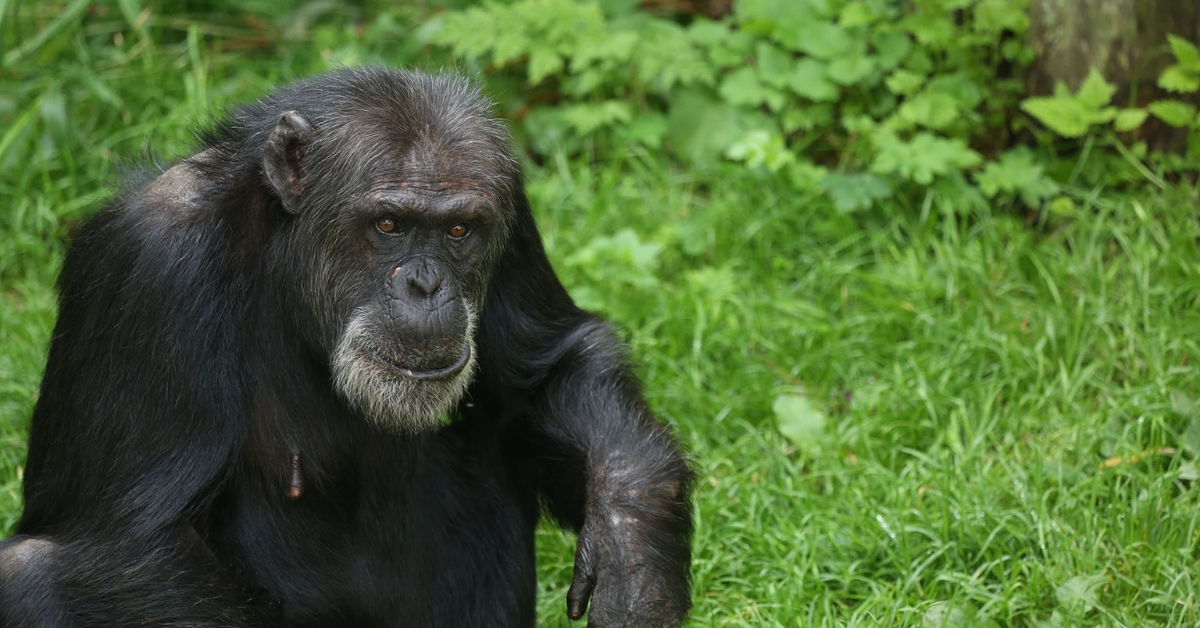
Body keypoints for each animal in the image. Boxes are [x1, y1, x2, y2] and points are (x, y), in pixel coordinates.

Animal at [0, 68, 696, 628]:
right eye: (387, 225)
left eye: (459, 230)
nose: (426, 285)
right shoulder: (151, 261)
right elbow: (135, 540)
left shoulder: (514, 212)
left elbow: (546, 368)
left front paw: (634, 549)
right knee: (33, 574)